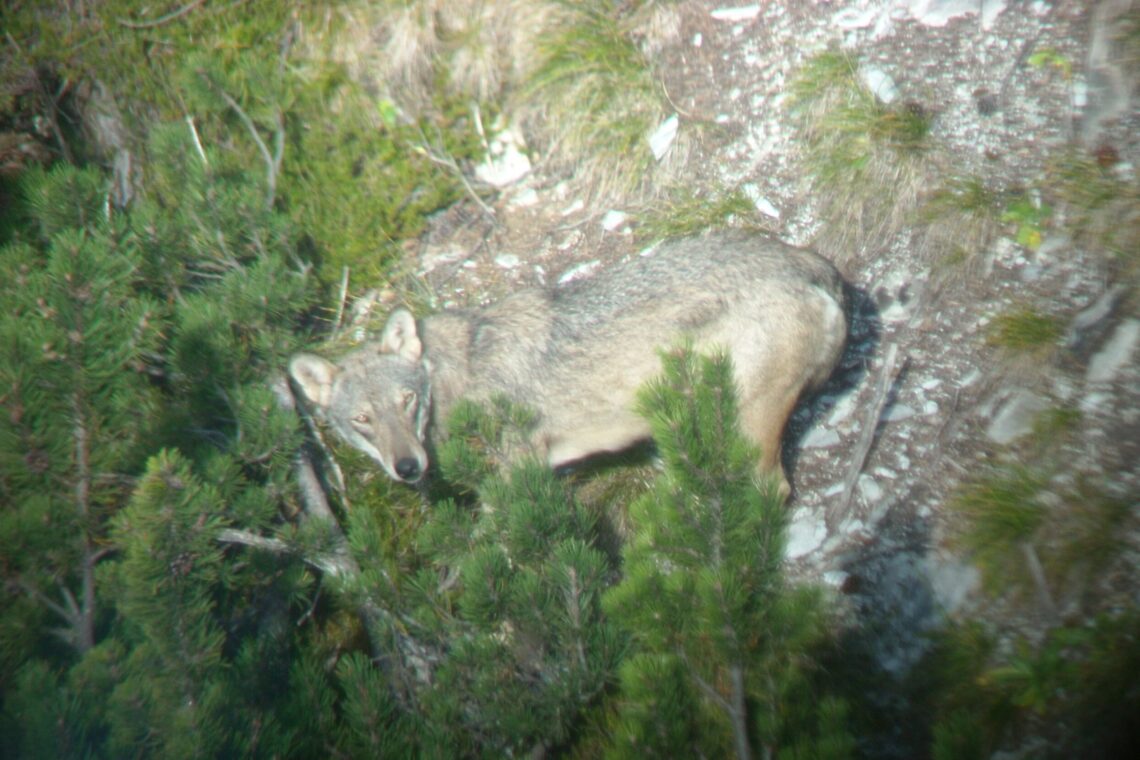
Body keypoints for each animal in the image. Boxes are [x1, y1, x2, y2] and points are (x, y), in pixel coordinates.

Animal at [289, 232, 848, 494]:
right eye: (363, 420)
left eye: (407, 401)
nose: (407, 468)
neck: (458, 379)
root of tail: (803, 259)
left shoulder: (518, 473)